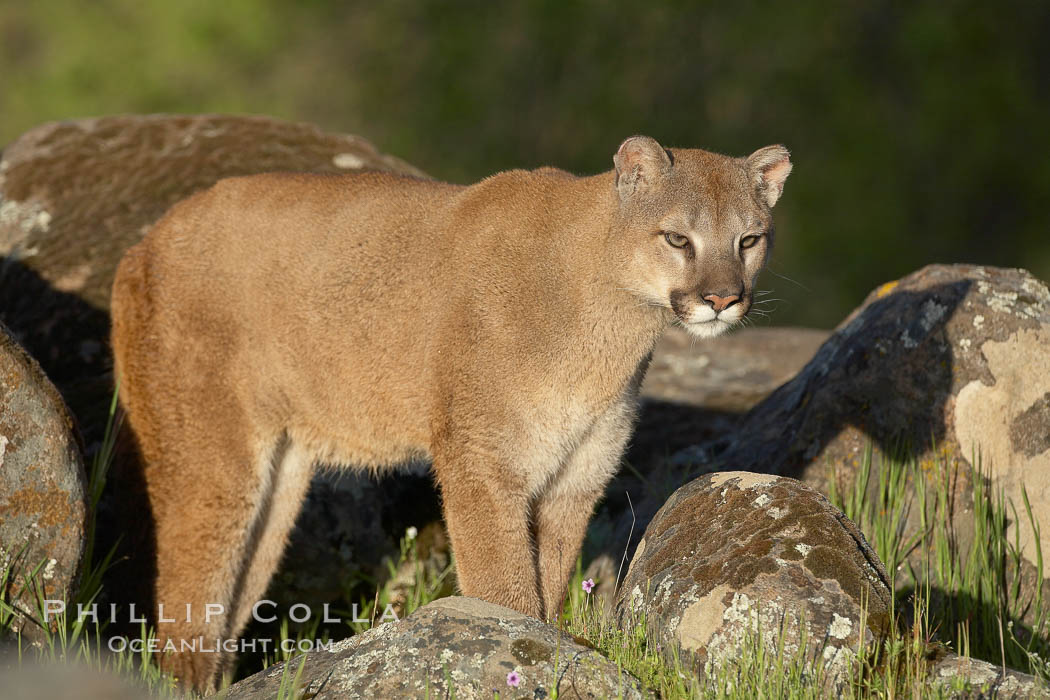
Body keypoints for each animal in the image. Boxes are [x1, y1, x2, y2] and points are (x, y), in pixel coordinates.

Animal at [112, 135, 789, 688]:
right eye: (677, 238)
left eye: (748, 239)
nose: (723, 299)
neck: (609, 322)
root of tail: (143, 243)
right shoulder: (482, 460)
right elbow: (505, 591)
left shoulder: (578, 473)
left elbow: (546, 585)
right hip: (213, 461)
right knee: (184, 609)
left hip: (277, 483)